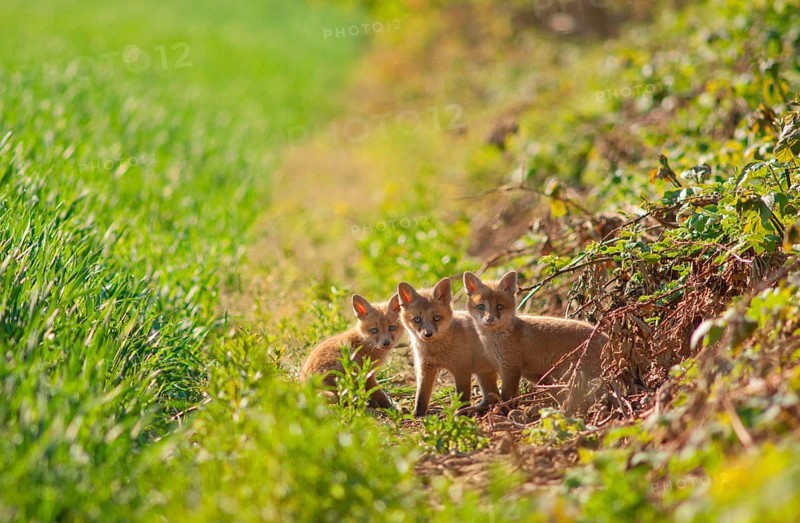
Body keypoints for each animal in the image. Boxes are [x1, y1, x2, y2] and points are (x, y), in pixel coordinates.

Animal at [397, 278, 500, 417]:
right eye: (417, 319)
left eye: (437, 318)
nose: (428, 334)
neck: (436, 351)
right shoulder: (425, 368)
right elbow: (421, 396)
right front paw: (417, 415)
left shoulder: (462, 369)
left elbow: (462, 397)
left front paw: (460, 415)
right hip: (483, 372)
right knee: (492, 397)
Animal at [463, 270, 608, 412]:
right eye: (481, 306)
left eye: (499, 306)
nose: (490, 319)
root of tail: (605, 335)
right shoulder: (529, 372)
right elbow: (553, 391)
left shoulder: (511, 367)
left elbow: (506, 396)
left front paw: (502, 411)